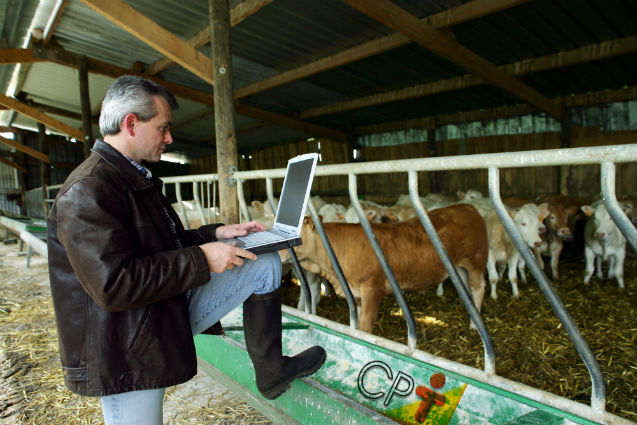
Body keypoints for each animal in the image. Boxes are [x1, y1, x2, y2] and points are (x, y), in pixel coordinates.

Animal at [284, 204, 486, 332]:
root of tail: (466, 207)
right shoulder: (355, 293)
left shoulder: (372, 289)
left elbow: (366, 326)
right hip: (459, 268)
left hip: (474, 261)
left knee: (478, 287)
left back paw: (474, 326)